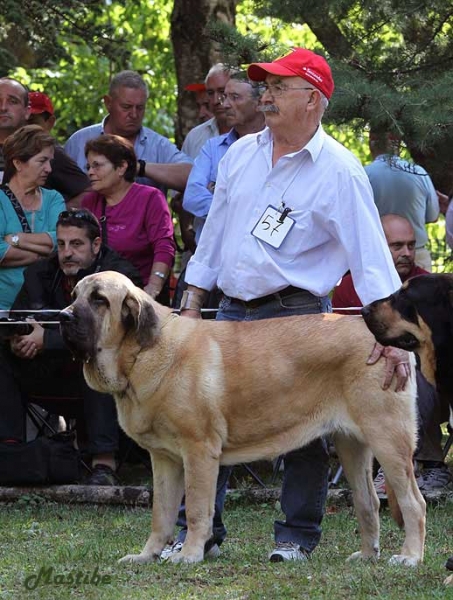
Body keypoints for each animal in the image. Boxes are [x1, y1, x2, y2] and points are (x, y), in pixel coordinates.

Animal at [59, 272, 424, 568]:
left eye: (99, 299)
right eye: (74, 294)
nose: (62, 318)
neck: (142, 352)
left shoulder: (199, 451)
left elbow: (197, 509)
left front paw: (188, 555)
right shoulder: (164, 459)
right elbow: (161, 515)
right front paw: (147, 555)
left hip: (388, 440)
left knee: (413, 503)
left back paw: (409, 557)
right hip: (353, 447)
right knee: (368, 503)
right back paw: (367, 555)